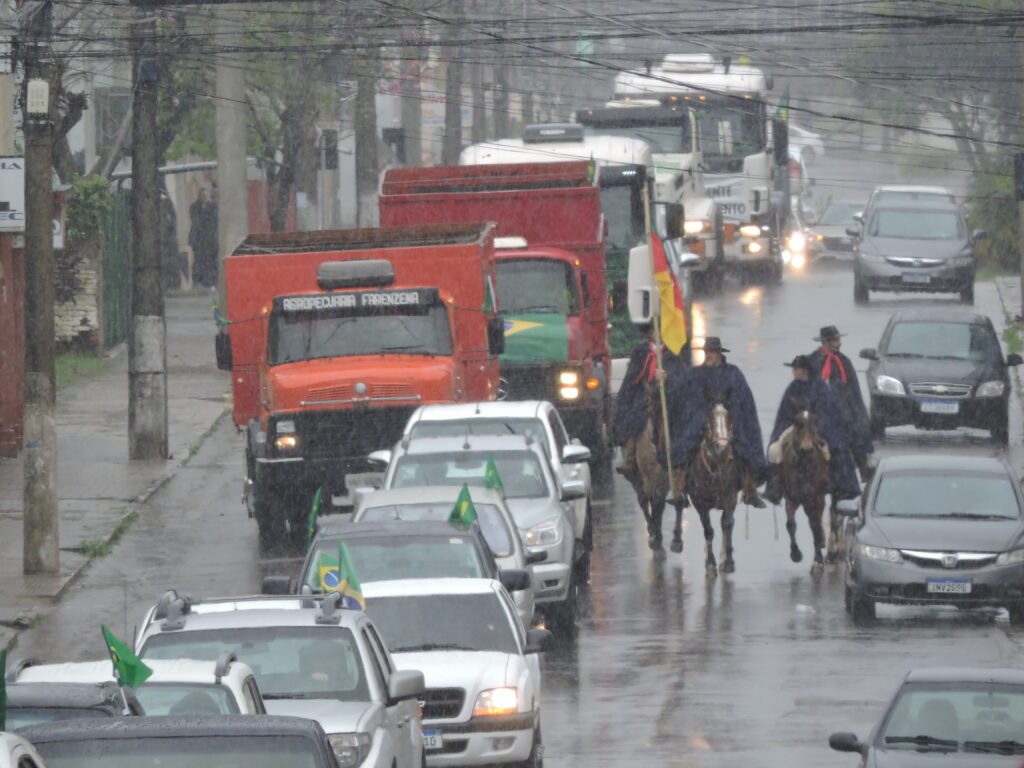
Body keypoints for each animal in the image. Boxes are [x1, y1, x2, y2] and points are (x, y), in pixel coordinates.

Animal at [684, 399, 741, 573]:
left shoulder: (731, 497)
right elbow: (708, 530)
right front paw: (710, 564)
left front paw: (728, 561)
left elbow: (727, 523)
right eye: (709, 423)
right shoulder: (699, 502)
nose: (723, 450)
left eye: (730, 422)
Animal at [778, 397, 835, 577]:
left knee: (819, 520)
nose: (807, 449)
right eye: (797, 423)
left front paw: (817, 561)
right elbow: (790, 524)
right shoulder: (792, 498)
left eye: (815, 422)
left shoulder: (816, 497)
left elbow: (815, 525)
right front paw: (795, 554)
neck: (803, 466)